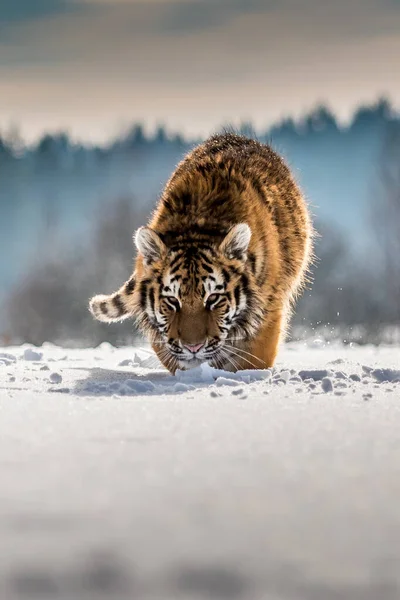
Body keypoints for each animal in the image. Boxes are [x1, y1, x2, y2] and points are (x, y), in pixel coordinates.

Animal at [89, 134, 314, 372]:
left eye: (213, 298)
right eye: (172, 300)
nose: (193, 347)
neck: (197, 225)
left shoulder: (268, 310)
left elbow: (252, 360)